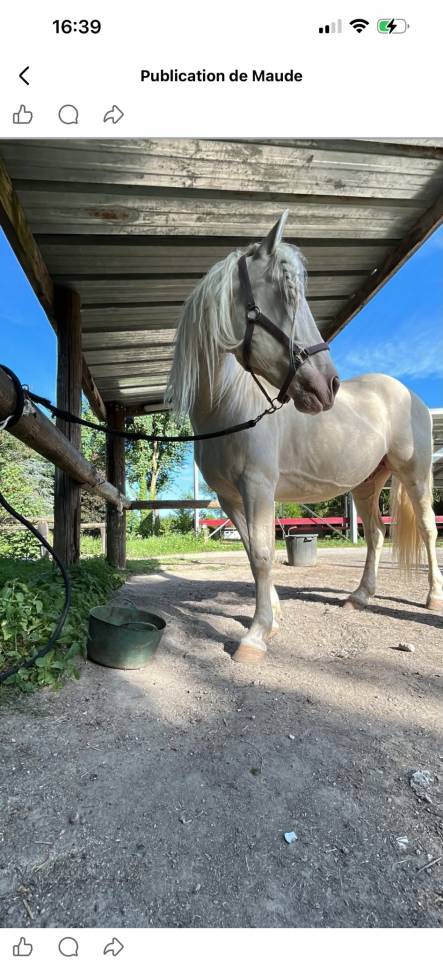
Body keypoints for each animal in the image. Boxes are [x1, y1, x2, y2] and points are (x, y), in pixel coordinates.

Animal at [167, 211, 443, 663]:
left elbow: (264, 555)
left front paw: (256, 635)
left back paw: (432, 598)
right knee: (376, 534)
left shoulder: (258, 488)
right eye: (288, 291)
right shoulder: (230, 497)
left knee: (426, 530)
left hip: (415, 476)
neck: (227, 405)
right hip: (367, 484)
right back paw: (359, 597)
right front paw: (273, 619)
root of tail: (408, 394)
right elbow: (252, 553)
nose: (328, 385)